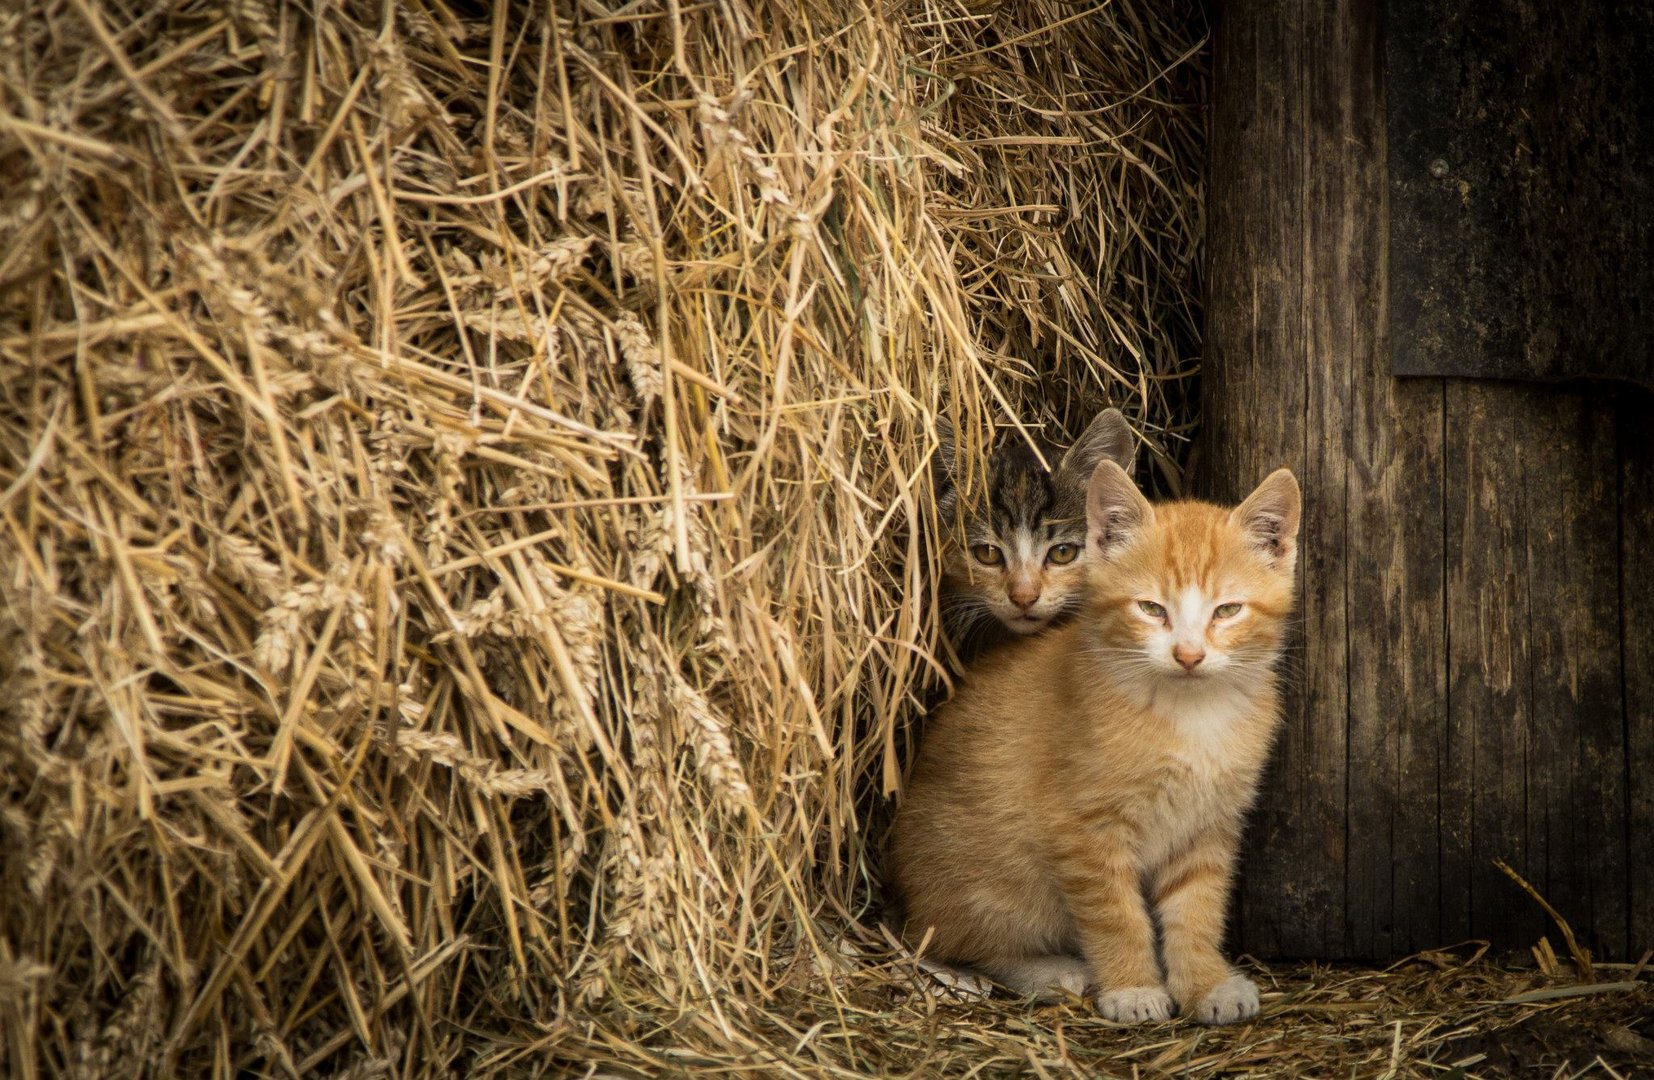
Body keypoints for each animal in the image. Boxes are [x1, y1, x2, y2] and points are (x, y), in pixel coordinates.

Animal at [893, 459, 1303, 1025]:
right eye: (1151, 609)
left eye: (1227, 611)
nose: (1189, 655)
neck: (1190, 712)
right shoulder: (1083, 828)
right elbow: (1116, 916)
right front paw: (1132, 987)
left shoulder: (1208, 824)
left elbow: (1197, 909)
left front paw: (1206, 983)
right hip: (994, 882)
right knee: (956, 941)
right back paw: (1051, 971)